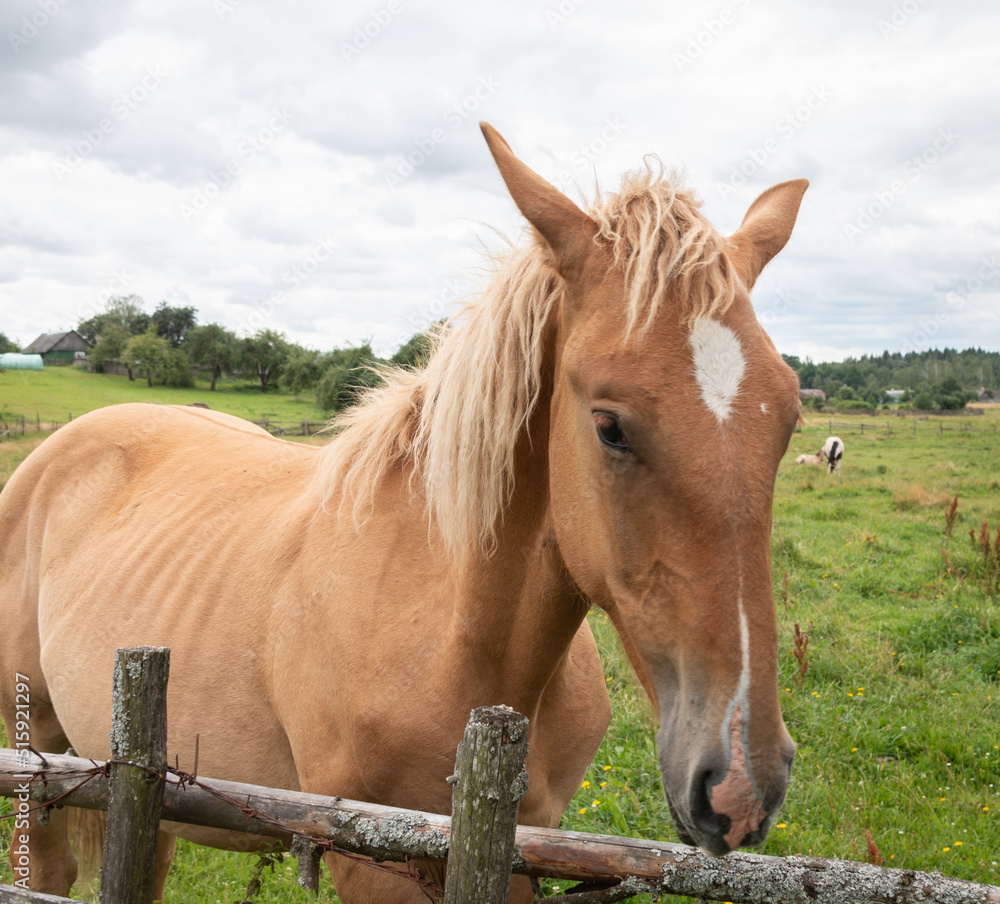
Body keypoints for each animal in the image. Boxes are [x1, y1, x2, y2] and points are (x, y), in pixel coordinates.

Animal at [0, 122, 808, 904]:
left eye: (789, 418)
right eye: (610, 426)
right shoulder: (373, 859)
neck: (450, 638)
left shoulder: (521, 848)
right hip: (37, 756)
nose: (740, 783)